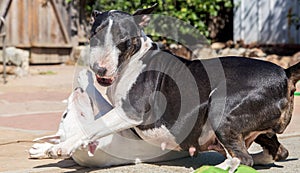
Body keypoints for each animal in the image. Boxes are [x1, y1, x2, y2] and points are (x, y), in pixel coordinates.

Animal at [30, 4, 300, 168]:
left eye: (123, 39)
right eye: (94, 35)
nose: (101, 70)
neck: (134, 58)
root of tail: (285, 72)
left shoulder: (130, 112)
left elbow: (93, 126)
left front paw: (61, 147)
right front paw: (44, 147)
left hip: (221, 107)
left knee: (242, 159)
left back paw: (219, 166)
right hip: (258, 128)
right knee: (275, 152)